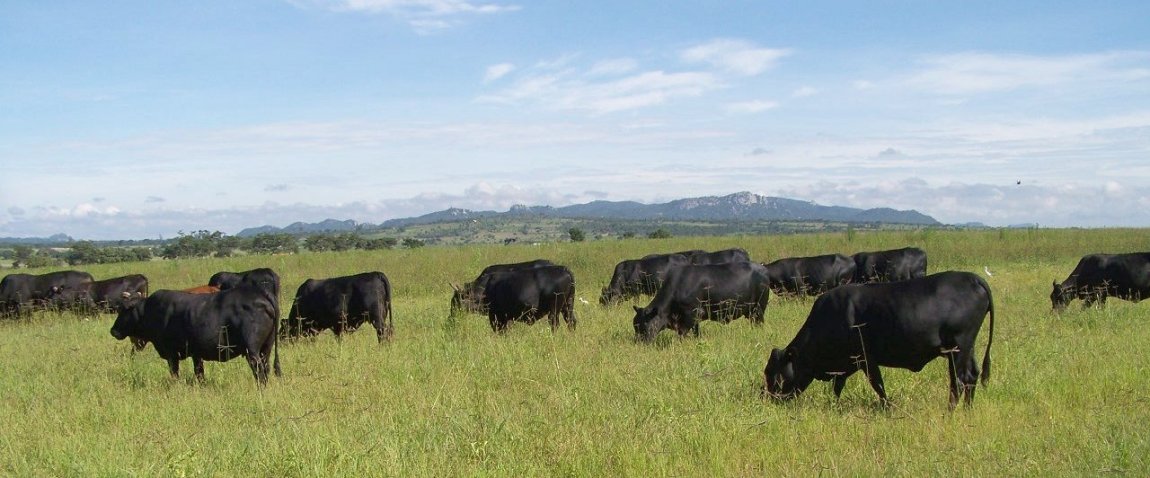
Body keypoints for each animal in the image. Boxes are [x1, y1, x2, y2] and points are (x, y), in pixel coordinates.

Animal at [109, 285, 281, 386]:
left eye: (123, 309)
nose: (113, 331)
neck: (150, 311)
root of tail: (261, 294)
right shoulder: (196, 354)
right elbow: (199, 373)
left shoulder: (172, 354)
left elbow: (175, 374)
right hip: (266, 349)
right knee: (265, 368)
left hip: (252, 350)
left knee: (259, 370)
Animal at [632, 262, 771, 342]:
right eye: (635, 325)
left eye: (645, 324)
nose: (639, 342)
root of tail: (763, 268)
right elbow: (696, 332)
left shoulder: (691, 315)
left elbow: (682, 334)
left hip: (759, 309)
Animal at [762, 271, 995, 410]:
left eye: (775, 374)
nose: (768, 398)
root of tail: (974, 278)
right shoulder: (846, 364)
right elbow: (838, 387)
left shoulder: (866, 359)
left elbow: (878, 385)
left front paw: (887, 408)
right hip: (967, 348)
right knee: (972, 376)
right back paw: (967, 410)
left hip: (958, 347)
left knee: (959, 380)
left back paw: (950, 411)